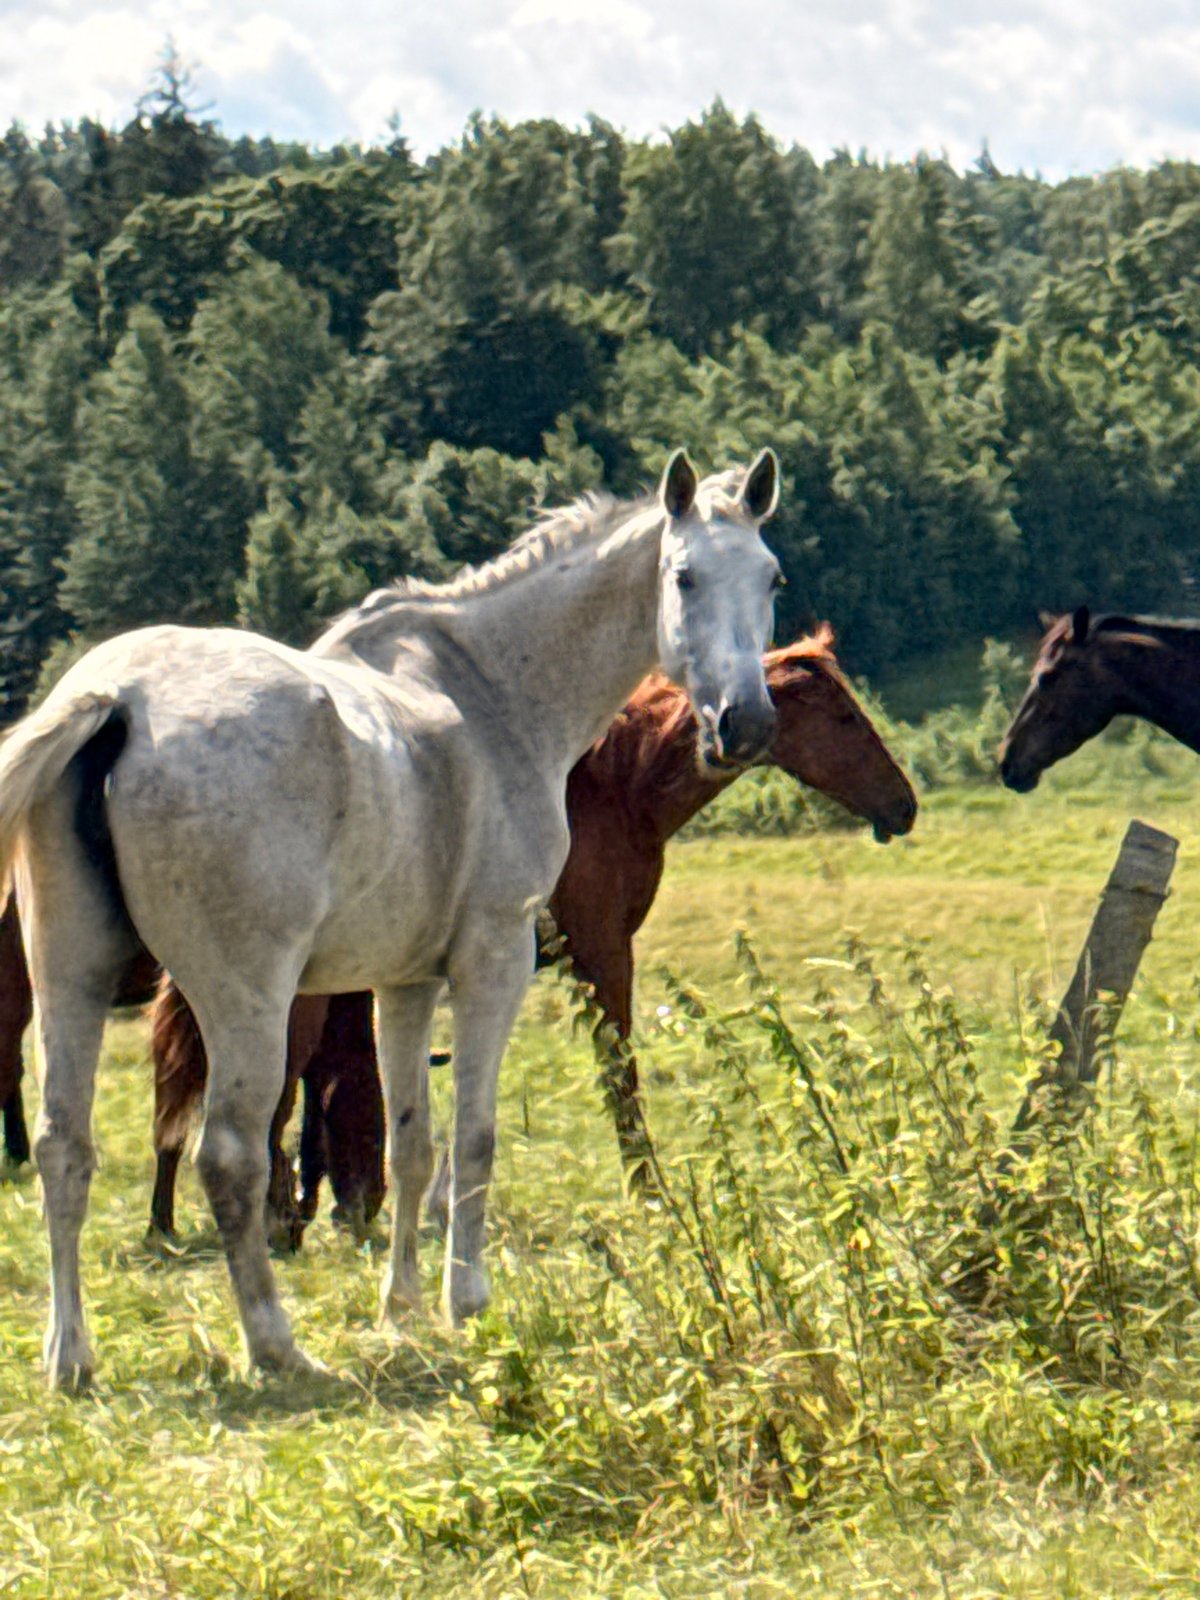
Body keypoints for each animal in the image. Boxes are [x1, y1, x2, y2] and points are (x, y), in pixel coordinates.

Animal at [0, 448, 782, 1387]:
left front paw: (402, 1304)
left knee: (63, 1148)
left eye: (772, 578)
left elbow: (411, 1145)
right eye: (684, 575)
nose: (747, 721)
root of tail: (118, 699)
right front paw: (466, 1299)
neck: (491, 697)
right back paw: (275, 1344)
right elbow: (473, 1139)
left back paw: (70, 1357)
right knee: (228, 1155)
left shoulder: (404, 984)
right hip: (244, 1003)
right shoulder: (492, 963)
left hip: (71, 979)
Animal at [146, 624, 916, 1229]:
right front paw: (647, 1191)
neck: (615, 789)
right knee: (263, 1102)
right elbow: (620, 1075)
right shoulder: (604, 953)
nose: (904, 805)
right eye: (845, 719)